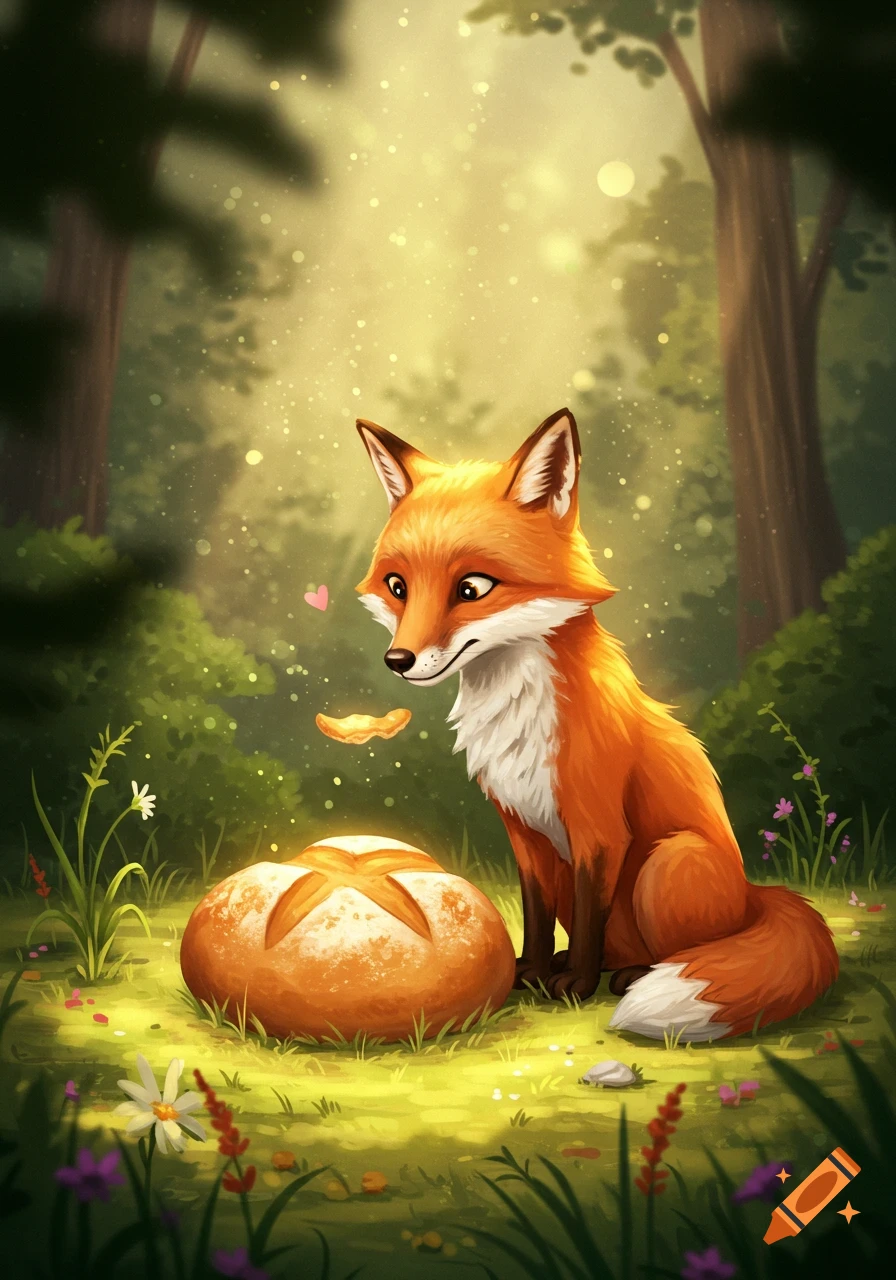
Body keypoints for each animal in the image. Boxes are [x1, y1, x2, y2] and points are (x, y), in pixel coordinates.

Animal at [354, 407, 838, 1040]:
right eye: (398, 587)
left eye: (472, 588)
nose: (398, 659)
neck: (518, 715)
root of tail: (754, 897)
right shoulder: (525, 833)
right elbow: (536, 917)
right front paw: (529, 971)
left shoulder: (599, 829)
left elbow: (589, 919)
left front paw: (575, 985)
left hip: (666, 863)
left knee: (683, 950)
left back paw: (630, 976)